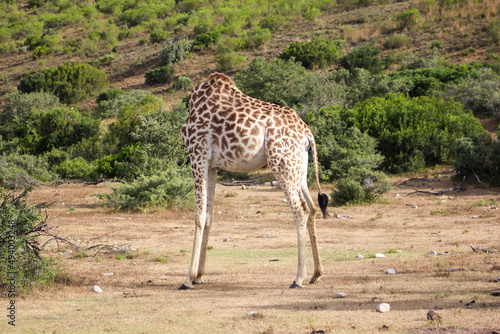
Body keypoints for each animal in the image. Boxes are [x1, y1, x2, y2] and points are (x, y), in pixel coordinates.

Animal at [179, 72, 328, 290]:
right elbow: (209, 216)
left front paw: (188, 279)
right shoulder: (213, 166)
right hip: (299, 168)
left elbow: (199, 216)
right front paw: (199, 276)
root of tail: (308, 134)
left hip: (281, 163)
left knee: (300, 209)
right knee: (313, 207)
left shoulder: (198, 154)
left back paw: (298, 278)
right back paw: (316, 274)